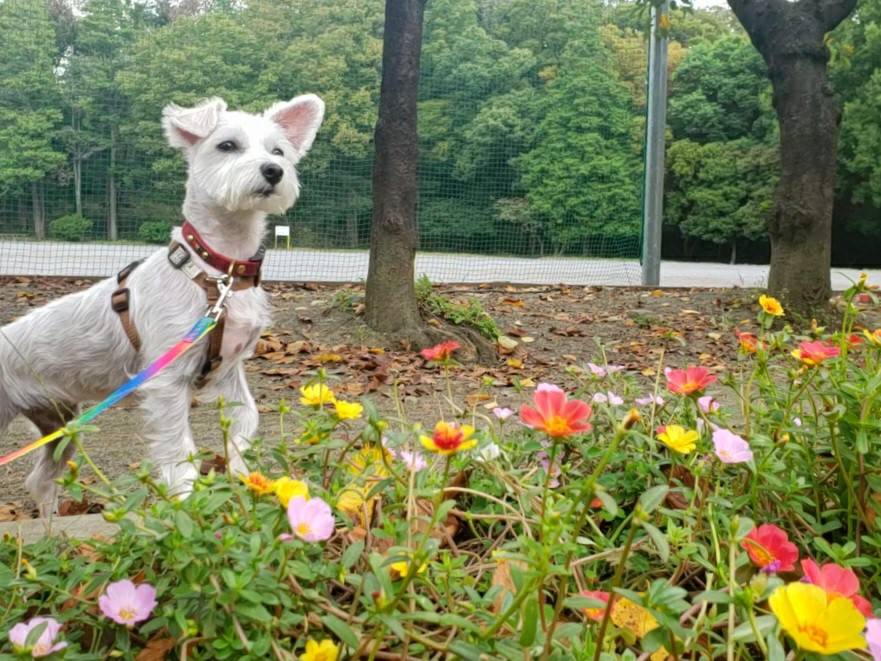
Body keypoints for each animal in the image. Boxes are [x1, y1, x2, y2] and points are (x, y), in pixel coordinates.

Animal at [0, 95, 324, 513]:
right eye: (227, 145)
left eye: (279, 151)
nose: (273, 171)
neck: (218, 271)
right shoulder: (167, 382)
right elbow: (178, 450)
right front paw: (188, 503)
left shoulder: (229, 369)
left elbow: (248, 419)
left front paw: (242, 477)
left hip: (61, 426)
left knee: (41, 480)